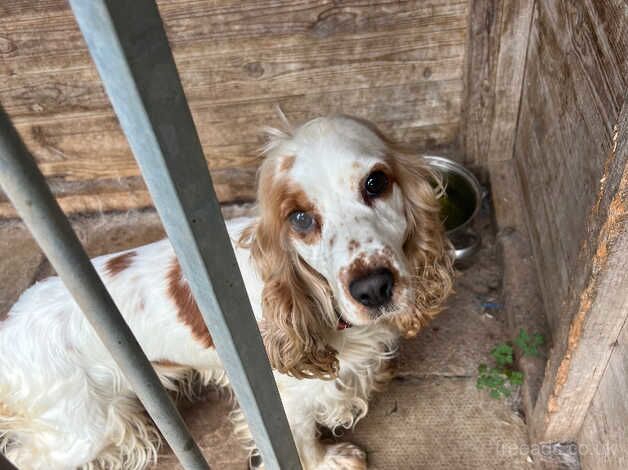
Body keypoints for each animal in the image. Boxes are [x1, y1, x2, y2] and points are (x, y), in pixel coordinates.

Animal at [0, 114, 452, 470]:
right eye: (300, 218)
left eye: (375, 182)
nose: (373, 288)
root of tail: (9, 332)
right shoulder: (286, 401)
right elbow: (302, 439)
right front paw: (329, 460)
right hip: (83, 428)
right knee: (25, 456)